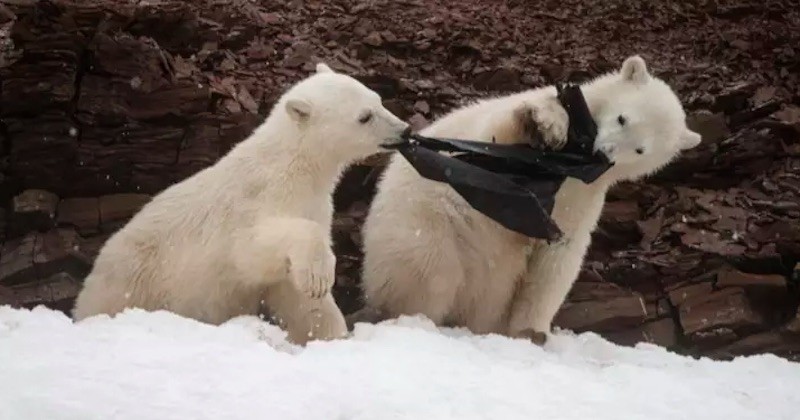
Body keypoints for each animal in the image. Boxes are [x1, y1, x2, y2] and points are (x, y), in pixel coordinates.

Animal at [72, 63, 410, 344]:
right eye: (364, 116)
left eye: (378, 99)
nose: (404, 130)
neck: (294, 168)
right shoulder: (253, 204)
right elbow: (253, 250)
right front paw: (319, 277)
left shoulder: (314, 206)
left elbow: (296, 298)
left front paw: (330, 334)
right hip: (132, 282)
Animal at [356, 56, 700, 344]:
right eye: (622, 119)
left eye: (641, 149)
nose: (604, 153)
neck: (577, 164)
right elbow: (500, 132)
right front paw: (545, 123)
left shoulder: (583, 195)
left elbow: (558, 255)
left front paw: (532, 332)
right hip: (425, 224)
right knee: (431, 271)